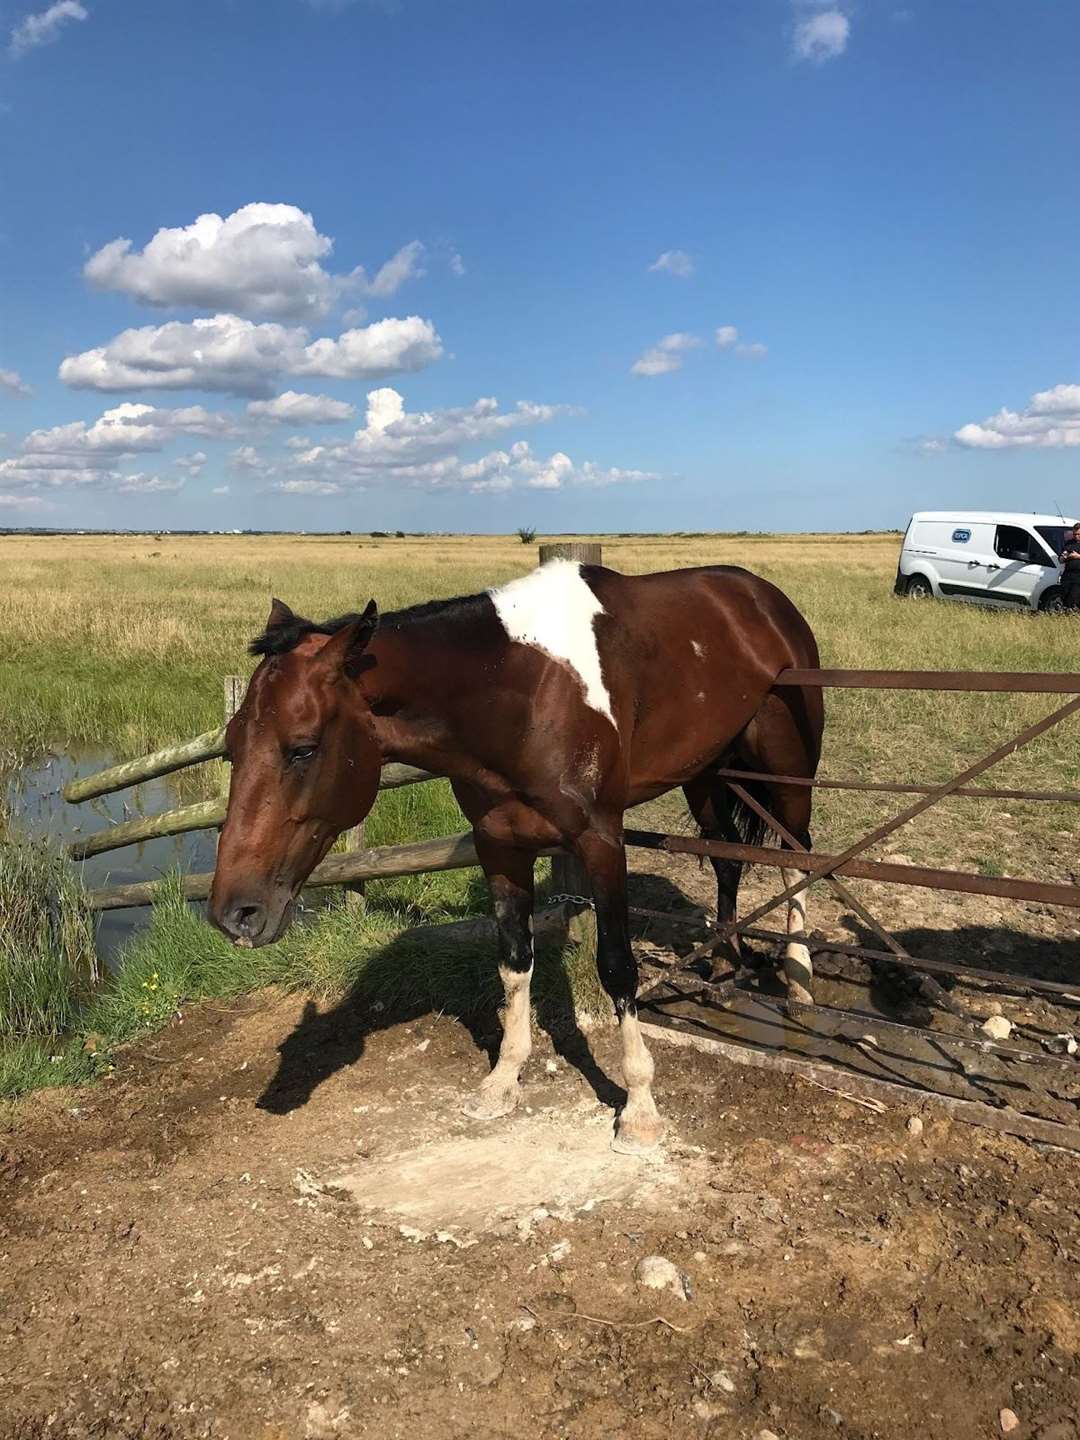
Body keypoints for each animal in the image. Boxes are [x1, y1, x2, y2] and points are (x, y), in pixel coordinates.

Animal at [207, 558, 823, 1146]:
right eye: (231, 745)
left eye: (303, 748)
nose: (235, 914)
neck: (521, 692)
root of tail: (761, 596)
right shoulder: (499, 845)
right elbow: (513, 961)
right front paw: (502, 1081)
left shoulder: (601, 842)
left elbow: (616, 967)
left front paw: (640, 1109)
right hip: (707, 771)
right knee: (727, 857)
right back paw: (725, 961)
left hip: (787, 768)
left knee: (800, 854)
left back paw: (798, 978)